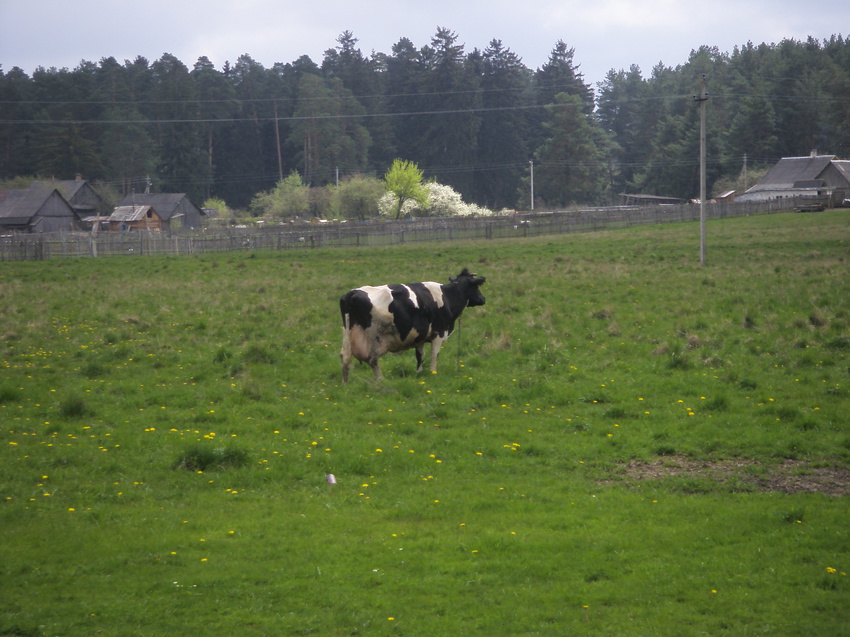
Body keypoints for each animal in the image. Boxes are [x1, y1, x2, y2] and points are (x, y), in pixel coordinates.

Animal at [338, 268, 484, 382]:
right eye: (476, 286)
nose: (483, 299)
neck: (448, 296)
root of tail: (352, 293)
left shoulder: (420, 336)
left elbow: (420, 356)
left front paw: (419, 373)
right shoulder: (439, 333)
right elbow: (434, 355)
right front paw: (433, 373)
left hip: (347, 332)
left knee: (345, 357)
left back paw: (345, 384)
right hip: (374, 336)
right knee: (373, 359)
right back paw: (380, 380)